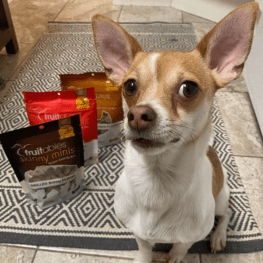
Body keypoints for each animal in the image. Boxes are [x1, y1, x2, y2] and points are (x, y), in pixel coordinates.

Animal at [92, 2, 260, 263]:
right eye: (130, 86)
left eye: (188, 88)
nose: (137, 115)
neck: (157, 179)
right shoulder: (139, 234)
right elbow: (144, 249)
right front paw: (144, 258)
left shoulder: (189, 237)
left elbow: (180, 249)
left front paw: (173, 257)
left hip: (221, 197)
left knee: (227, 213)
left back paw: (219, 236)